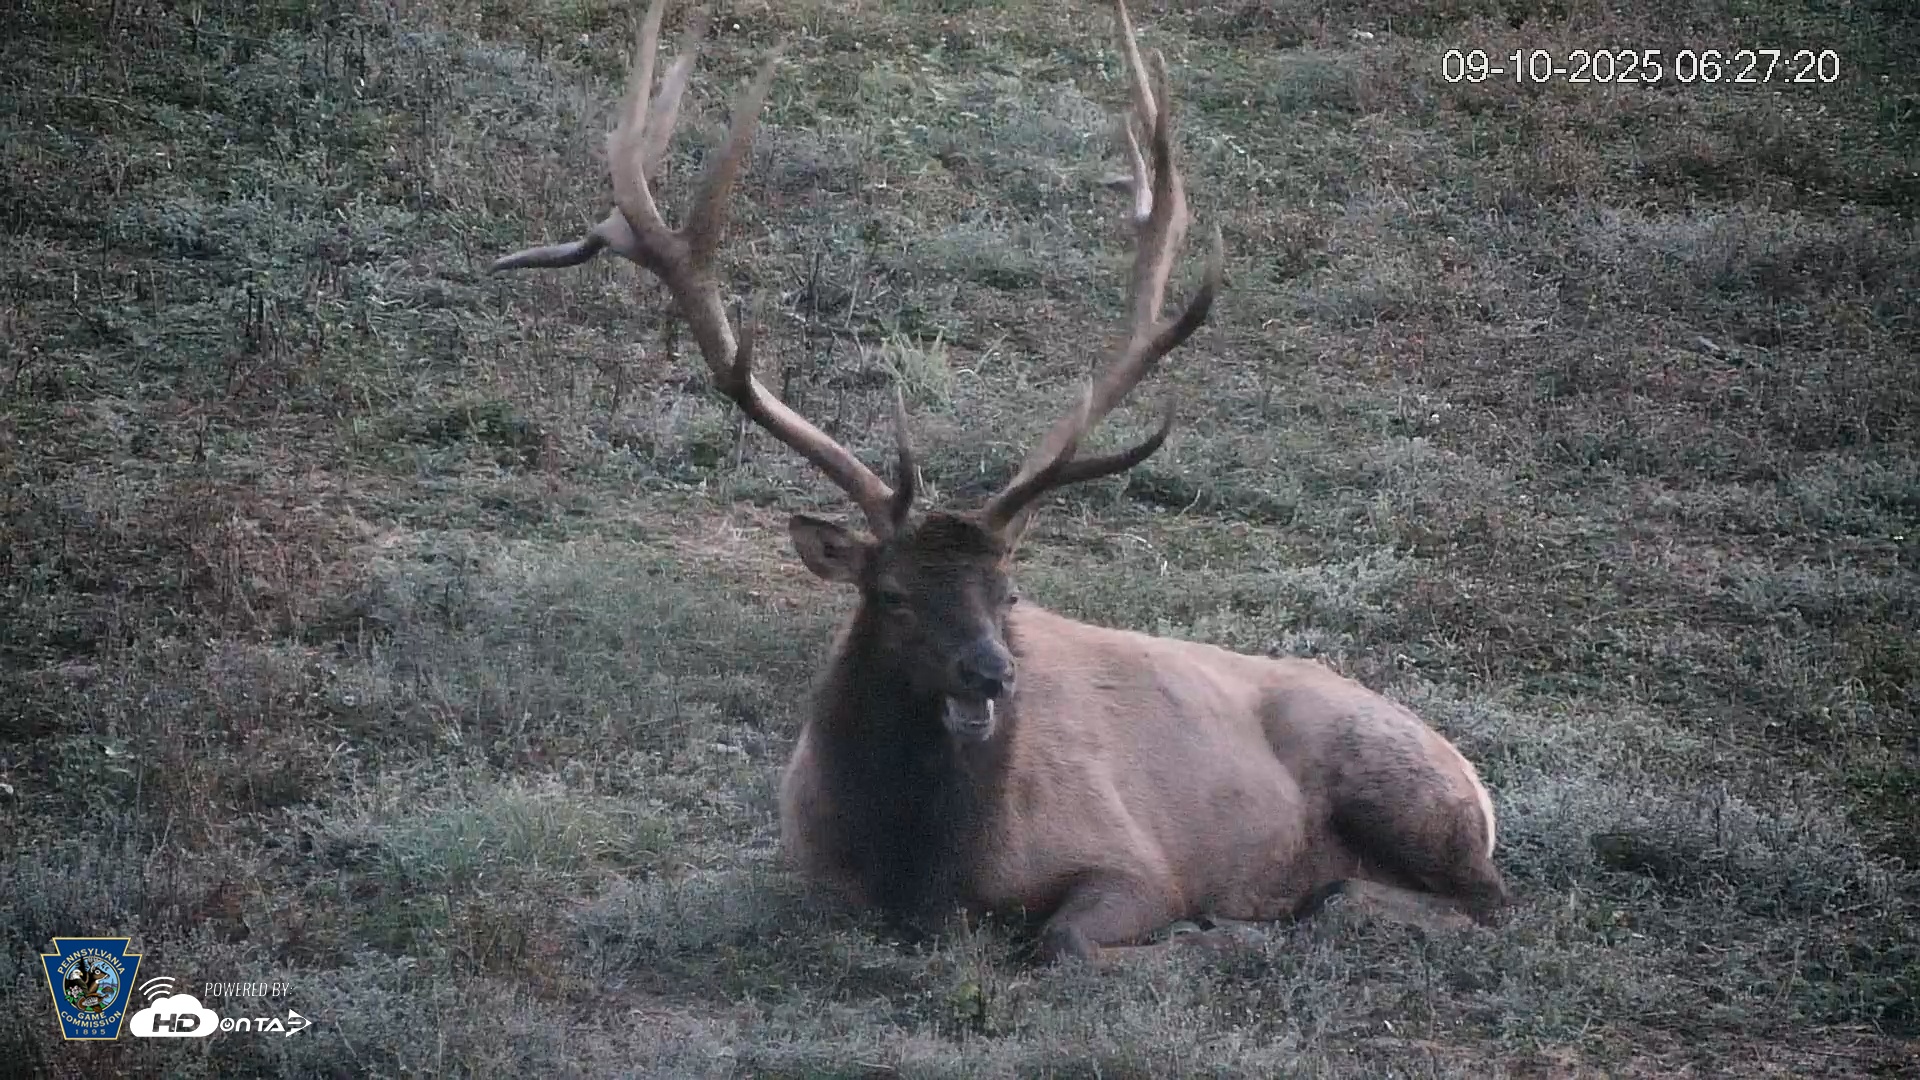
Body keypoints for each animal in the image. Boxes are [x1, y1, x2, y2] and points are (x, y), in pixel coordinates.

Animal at [489, 0, 1511, 967]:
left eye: (1008, 591)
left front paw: (1199, 936)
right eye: (892, 593)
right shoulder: (806, 873)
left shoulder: (1137, 861)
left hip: (1406, 789)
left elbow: (1065, 940)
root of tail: (1476, 777)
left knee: (1482, 901)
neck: (923, 870)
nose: (992, 672)